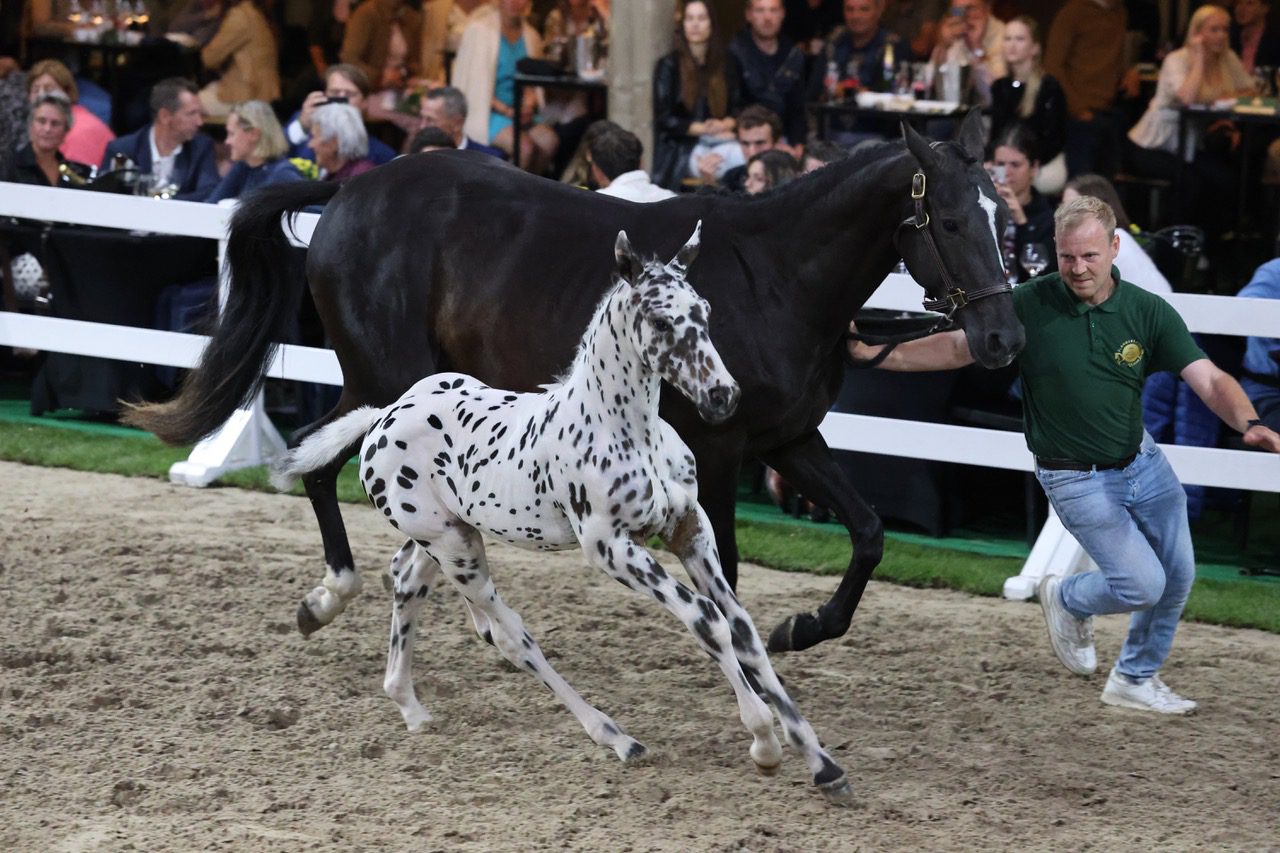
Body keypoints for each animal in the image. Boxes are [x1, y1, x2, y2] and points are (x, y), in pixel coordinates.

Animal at [125, 110, 1025, 654]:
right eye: (950, 220)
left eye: (1006, 217)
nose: (1003, 338)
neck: (774, 274)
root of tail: (348, 189)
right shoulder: (719, 446)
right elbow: (728, 565)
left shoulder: (788, 437)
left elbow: (869, 532)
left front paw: (802, 627)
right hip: (389, 384)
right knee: (323, 468)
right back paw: (342, 597)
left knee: (324, 468)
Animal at [270, 227, 855, 804]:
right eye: (662, 320)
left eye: (705, 311)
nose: (722, 396)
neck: (625, 430)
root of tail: (382, 416)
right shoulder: (610, 548)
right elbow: (706, 620)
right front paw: (764, 741)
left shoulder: (690, 529)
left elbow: (742, 629)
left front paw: (822, 764)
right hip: (457, 549)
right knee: (513, 636)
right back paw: (617, 738)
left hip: (450, 535)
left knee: (406, 579)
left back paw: (409, 705)